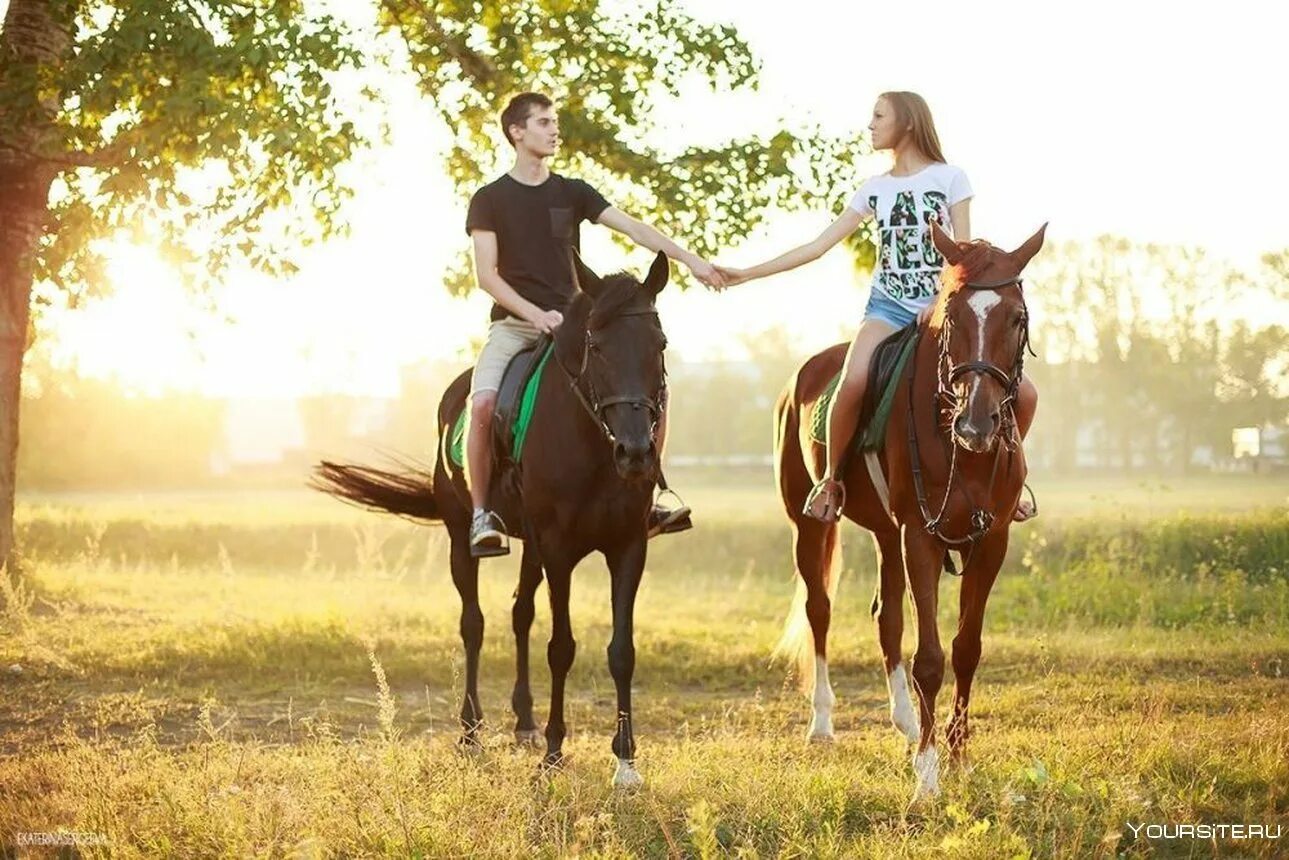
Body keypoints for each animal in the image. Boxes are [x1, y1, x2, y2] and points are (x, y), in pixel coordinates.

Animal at [313, 252, 675, 789]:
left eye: (660, 345)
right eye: (597, 346)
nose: (635, 453)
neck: (592, 444)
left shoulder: (628, 546)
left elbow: (621, 651)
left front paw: (626, 761)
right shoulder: (559, 550)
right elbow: (561, 647)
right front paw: (553, 752)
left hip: (532, 546)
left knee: (519, 613)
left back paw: (523, 721)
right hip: (462, 538)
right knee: (474, 623)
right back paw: (470, 731)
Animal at [768, 224, 1041, 809]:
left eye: (1016, 317)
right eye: (953, 316)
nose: (977, 424)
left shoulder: (992, 541)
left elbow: (965, 649)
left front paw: (958, 758)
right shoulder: (921, 536)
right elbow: (931, 659)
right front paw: (928, 777)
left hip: (885, 534)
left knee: (886, 617)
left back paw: (907, 723)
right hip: (812, 526)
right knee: (820, 610)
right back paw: (823, 723)